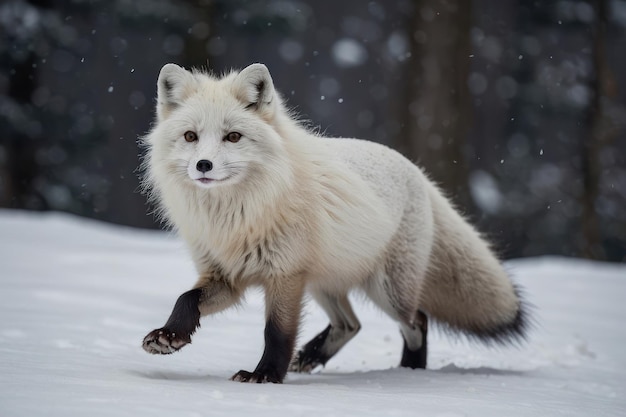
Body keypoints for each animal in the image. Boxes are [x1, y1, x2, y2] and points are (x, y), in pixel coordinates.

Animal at [140, 62, 528, 384]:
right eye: (190, 136)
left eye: (232, 136)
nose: (203, 165)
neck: (237, 217)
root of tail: (418, 171)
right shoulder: (226, 275)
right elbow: (186, 299)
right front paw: (169, 336)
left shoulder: (285, 275)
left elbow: (276, 332)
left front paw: (265, 375)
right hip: (324, 282)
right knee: (351, 324)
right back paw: (312, 357)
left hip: (387, 290)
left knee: (417, 321)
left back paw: (410, 372)